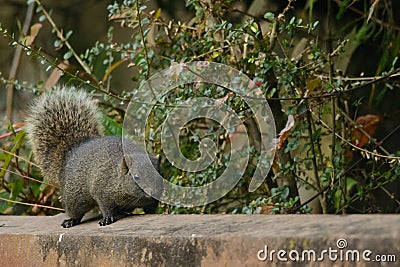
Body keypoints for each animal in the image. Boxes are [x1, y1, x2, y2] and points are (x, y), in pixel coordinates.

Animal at [25, 87, 161, 229]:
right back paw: (71, 220)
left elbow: (151, 207)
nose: (151, 192)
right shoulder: (101, 190)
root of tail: (73, 151)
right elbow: (106, 207)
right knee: (75, 211)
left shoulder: (152, 200)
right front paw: (107, 219)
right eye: (136, 177)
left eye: (159, 175)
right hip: (74, 198)